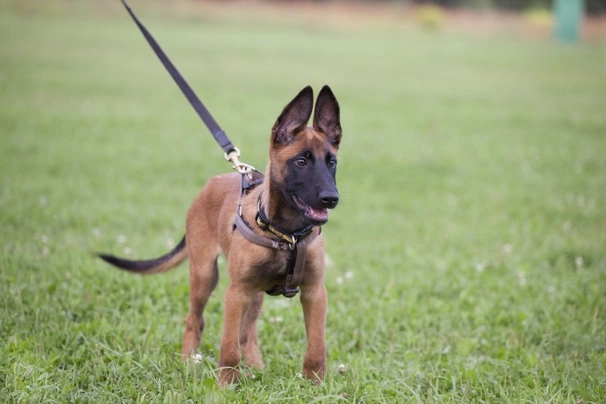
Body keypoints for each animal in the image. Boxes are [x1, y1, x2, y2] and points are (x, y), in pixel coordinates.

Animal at [98, 85, 342, 386]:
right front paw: (226, 384)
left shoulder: (314, 292)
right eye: (301, 162)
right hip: (205, 275)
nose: (331, 198)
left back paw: (256, 366)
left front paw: (314, 383)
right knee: (195, 320)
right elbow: (228, 345)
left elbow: (316, 346)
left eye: (332, 162)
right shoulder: (235, 293)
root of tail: (211, 183)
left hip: (255, 293)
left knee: (248, 332)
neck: (287, 234)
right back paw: (189, 362)